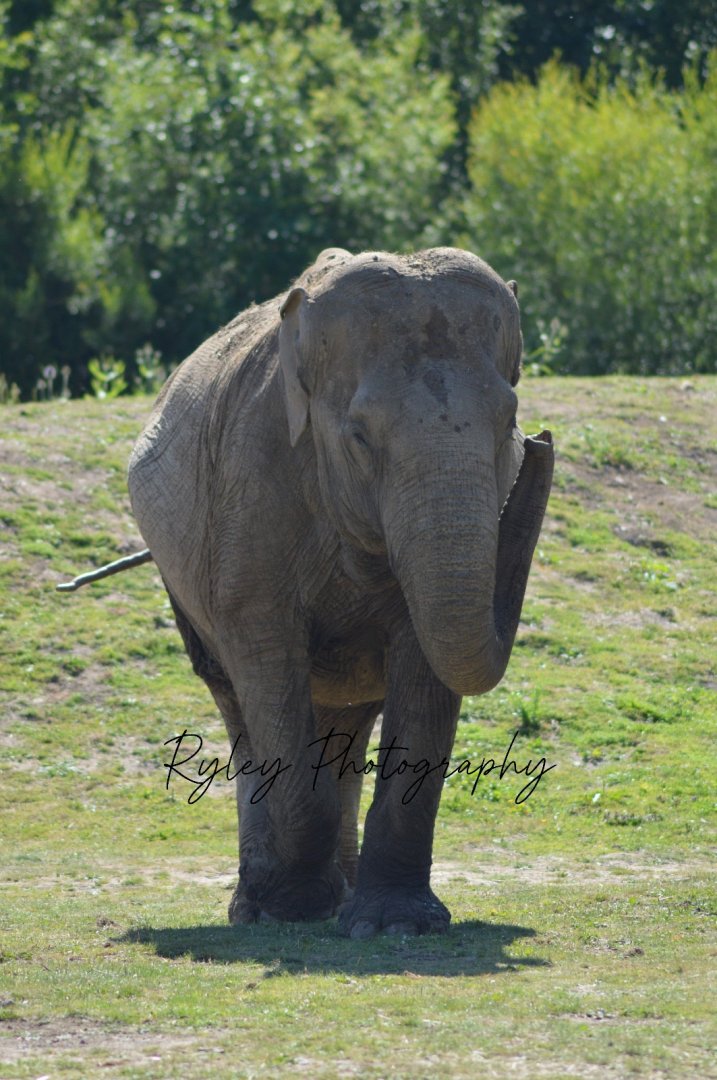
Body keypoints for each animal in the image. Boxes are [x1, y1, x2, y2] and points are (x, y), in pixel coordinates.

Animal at [127, 246, 553, 938]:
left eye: (509, 424)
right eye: (359, 437)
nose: (542, 443)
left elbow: (427, 670)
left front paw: (397, 925)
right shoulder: (252, 485)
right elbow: (267, 659)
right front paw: (297, 908)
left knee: (349, 722)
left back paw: (344, 897)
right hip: (182, 581)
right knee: (238, 703)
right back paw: (262, 906)